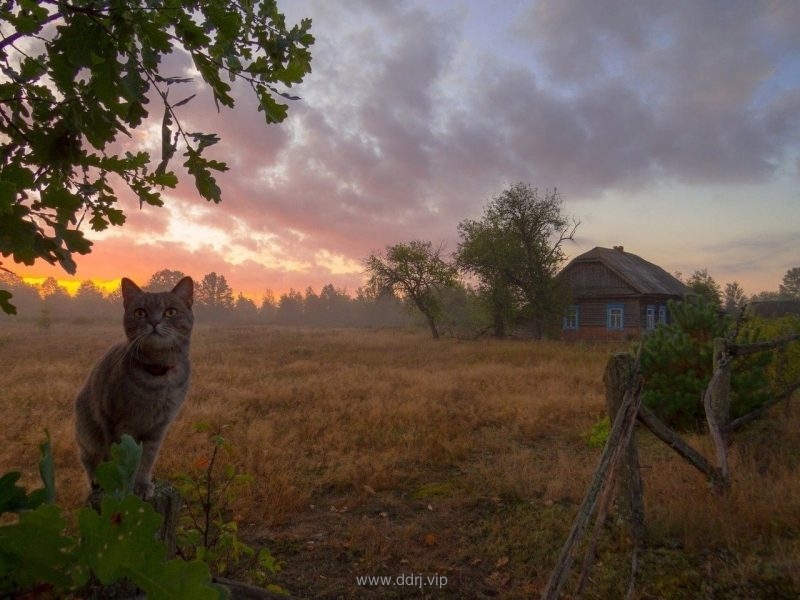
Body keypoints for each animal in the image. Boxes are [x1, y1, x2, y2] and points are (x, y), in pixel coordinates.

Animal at [74, 276, 194, 496]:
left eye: (170, 312)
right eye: (140, 313)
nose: (154, 322)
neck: (156, 378)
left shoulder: (157, 429)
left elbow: (146, 460)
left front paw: (142, 484)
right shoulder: (113, 423)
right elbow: (118, 459)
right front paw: (122, 486)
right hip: (88, 436)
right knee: (89, 460)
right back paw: (96, 481)